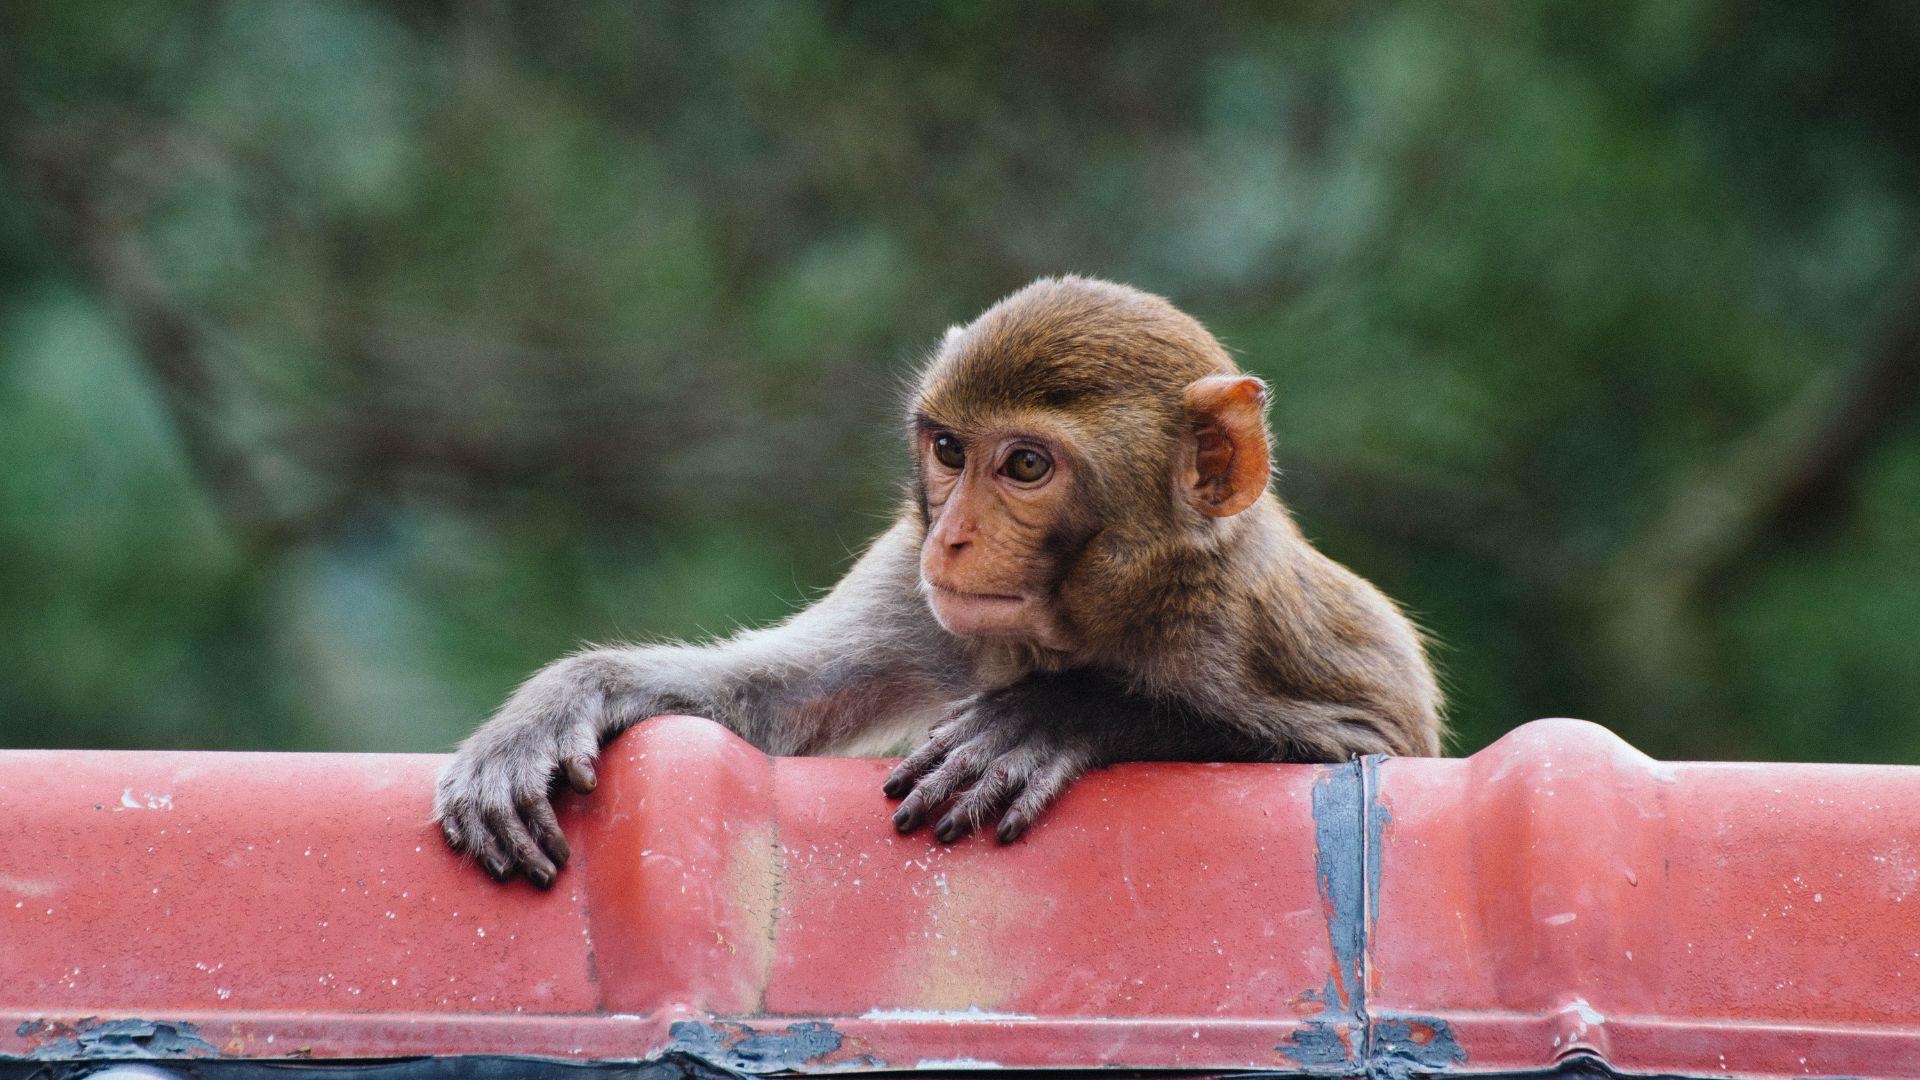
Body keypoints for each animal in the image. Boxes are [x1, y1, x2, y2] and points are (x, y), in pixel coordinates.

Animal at [434, 276, 1442, 886]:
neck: (1079, 621)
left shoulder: (1240, 621)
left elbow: (1368, 750)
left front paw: (1054, 717)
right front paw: (555, 706)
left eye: (1026, 465)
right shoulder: (908, 589)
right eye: (950, 450)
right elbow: (765, 699)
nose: (952, 539)